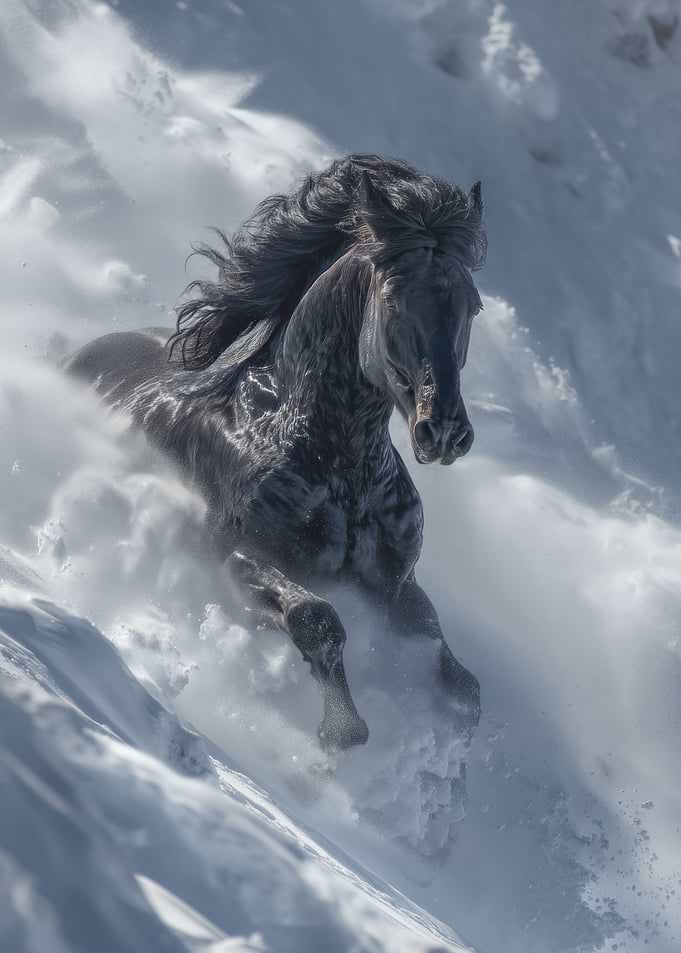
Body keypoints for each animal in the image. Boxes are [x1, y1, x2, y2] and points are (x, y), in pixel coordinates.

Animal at [68, 154, 487, 750]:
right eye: (394, 300)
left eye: (472, 306)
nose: (445, 431)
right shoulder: (237, 556)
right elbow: (316, 618)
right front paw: (342, 733)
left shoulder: (396, 591)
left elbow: (460, 685)